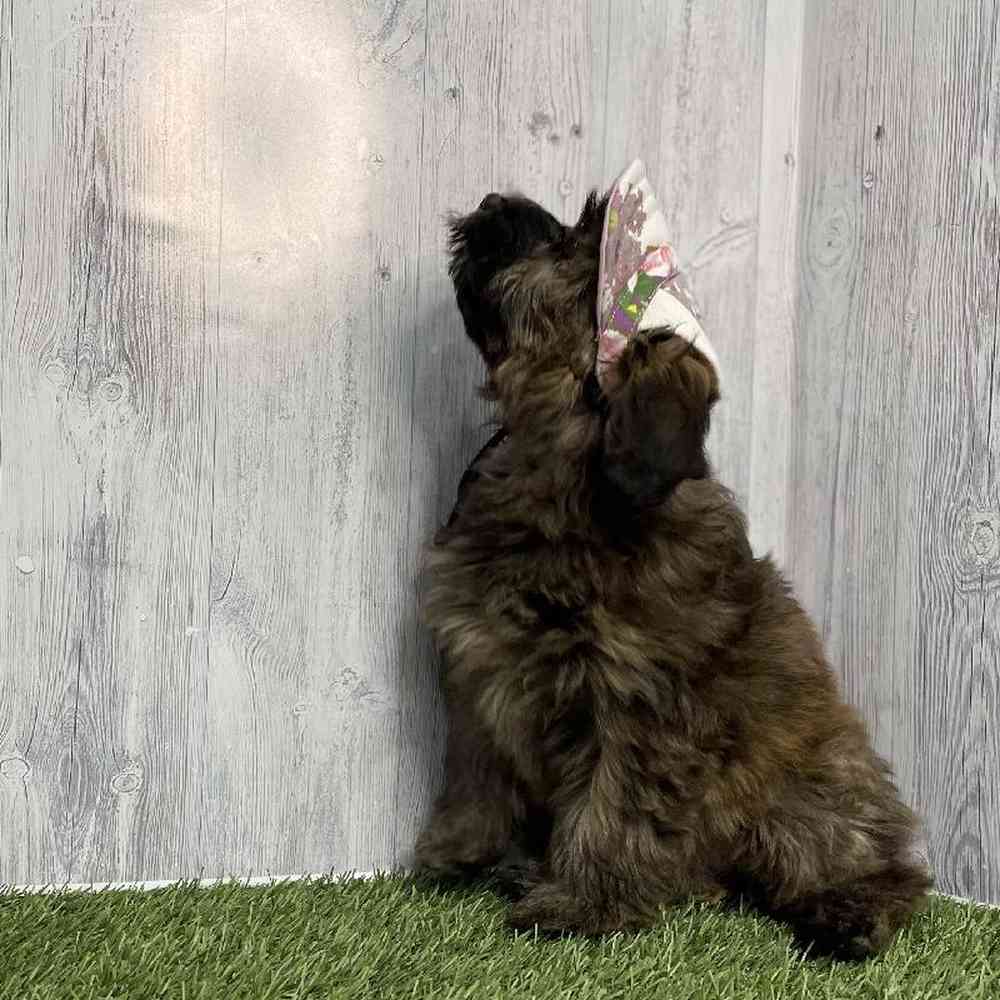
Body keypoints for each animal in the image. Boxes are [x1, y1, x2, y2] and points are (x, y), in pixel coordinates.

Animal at [413, 176, 932, 961]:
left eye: (572, 244)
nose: (495, 200)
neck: (564, 468)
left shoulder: (635, 704)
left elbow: (612, 805)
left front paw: (582, 902)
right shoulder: (480, 677)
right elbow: (476, 777)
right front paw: (461, 853)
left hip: (812, 793)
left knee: (877, 867)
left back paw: (847, 914)